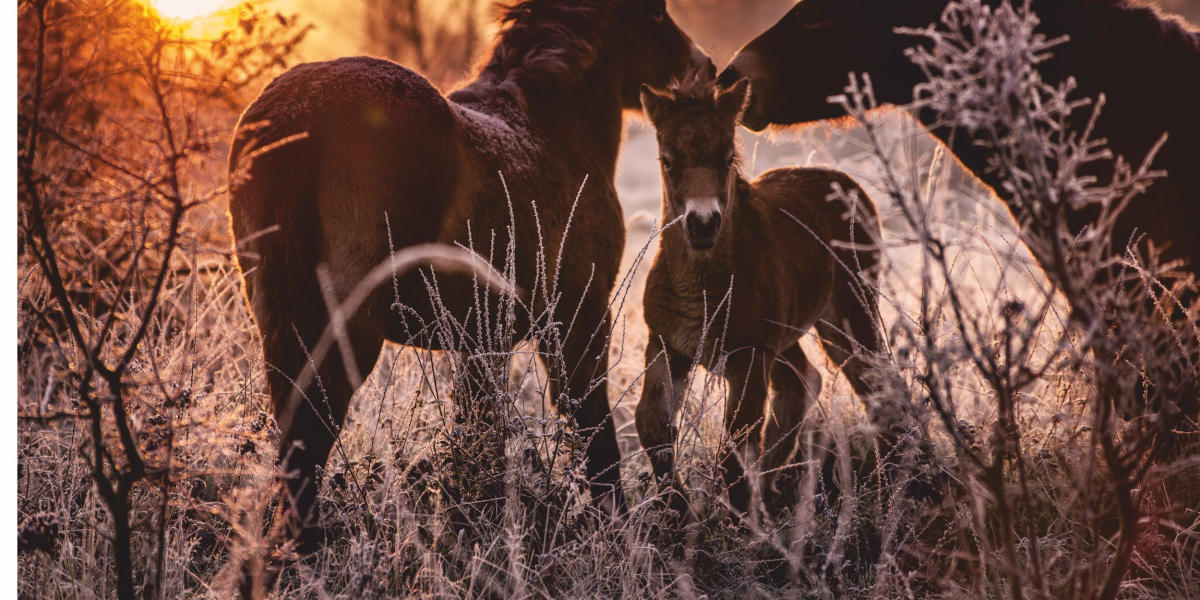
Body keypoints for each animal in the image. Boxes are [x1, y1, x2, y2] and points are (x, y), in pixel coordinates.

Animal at [229, 0, 705, 544]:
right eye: (655, 15)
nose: (704, 66)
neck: (553, 129)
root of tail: (295, 111)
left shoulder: (481, 341)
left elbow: (478, 440)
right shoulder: (578, 322)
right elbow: (593, 431)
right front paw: (616, 529)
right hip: (347, 330)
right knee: (311, 435)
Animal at [638, 73, 883, 516]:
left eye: (727, 158)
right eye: (667, 160)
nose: (703, 223)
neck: (701, 291)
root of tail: (849, 185)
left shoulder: (748, 354)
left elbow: (735, 446)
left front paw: (741, 522)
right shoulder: (666, 343)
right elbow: (652, 426)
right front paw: (677, 511)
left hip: (849, 316)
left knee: (875, 381)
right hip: (785, 335)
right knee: (803, 382)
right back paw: (769, 487)